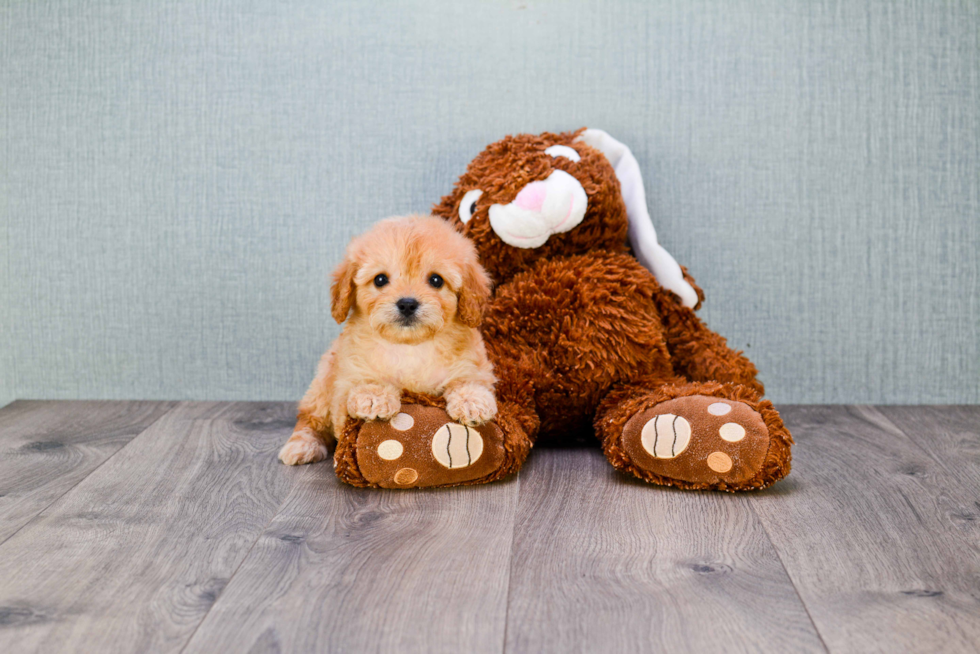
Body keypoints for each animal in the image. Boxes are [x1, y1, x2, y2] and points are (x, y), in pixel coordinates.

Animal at [282, 215, 498, 466]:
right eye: (380, 279)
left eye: (436, 280)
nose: (407, 303)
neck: (410, 347)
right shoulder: (346, 380)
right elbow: (358, 390)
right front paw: (374, 396)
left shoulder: (474, 365)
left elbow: (468, 381)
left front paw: (472, 401)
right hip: (322, 384)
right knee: (309, 418)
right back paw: (303, 445)